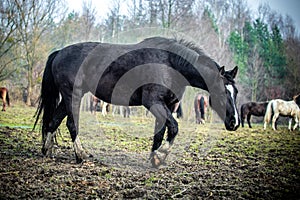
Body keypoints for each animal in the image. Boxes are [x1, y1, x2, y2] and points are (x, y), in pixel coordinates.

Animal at [33, 36, 239, 167]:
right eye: (222, 92)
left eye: (235, 92)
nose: (235, 123)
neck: (170, 63)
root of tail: (60, 52)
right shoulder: (153, 102)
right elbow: (173, 128)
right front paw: (160, 156)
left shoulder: (166, 106)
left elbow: (159, 133)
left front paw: (154, 158)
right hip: (72, 96)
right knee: (71, 124)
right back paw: (80, 155)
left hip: (69, 98)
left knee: (53, 121)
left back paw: (47, 151)